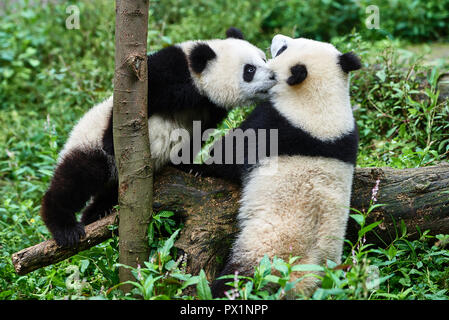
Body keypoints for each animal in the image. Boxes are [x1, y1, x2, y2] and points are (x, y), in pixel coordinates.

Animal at [40, 27, 276, 248]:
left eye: (263, 59)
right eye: (250, 69)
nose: (273, 76)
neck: (198, 88)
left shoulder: (210, 109)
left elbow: (197, 137)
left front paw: (192, 168)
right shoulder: (170, 71)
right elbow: (134, 101)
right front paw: (110, 142)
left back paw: (98, 212)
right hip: (88, 145)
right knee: (78, 177)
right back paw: (66, 227)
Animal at [178, 34, 360, 298]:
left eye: (283, 49)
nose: (276, 38)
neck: (321, 100)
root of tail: (300, 277)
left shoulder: (273, 123)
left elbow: (231, 154)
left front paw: (197, 167)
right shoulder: (348, 138)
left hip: (261, 252)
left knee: (236, 278)